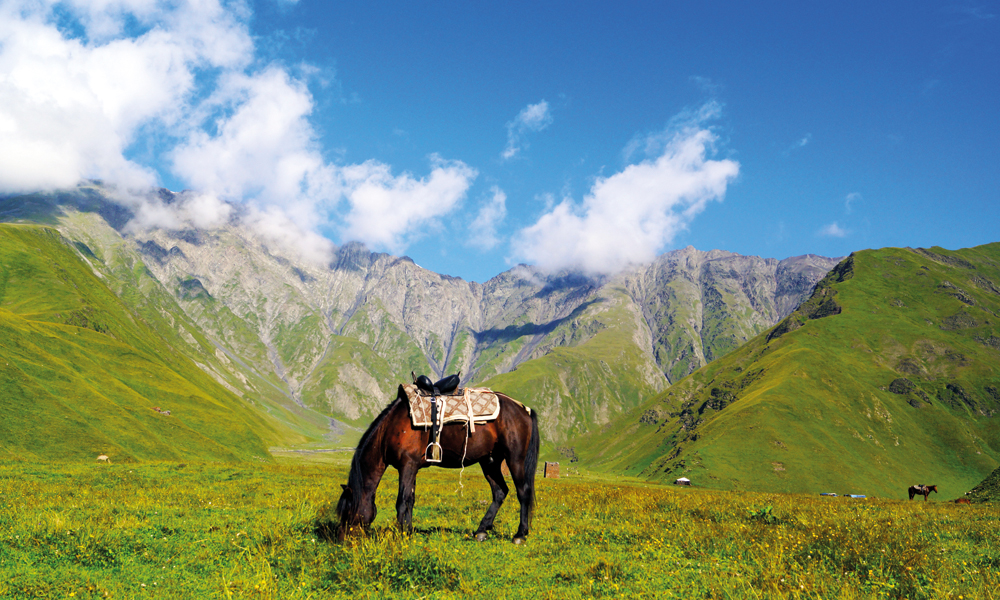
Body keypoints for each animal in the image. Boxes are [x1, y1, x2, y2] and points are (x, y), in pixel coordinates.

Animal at [334, 386, 540, 548]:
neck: (390, 428)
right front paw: (408, 531)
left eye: (348, 512)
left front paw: (400, 535)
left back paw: (520, 535)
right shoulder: (412, 467)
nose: (342, 541)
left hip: (514, 458)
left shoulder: (407, 465)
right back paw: (481, 531)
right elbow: (410, 500)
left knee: (523, 492)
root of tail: (523, 409)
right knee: (500, 491)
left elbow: (402, 501)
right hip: (489, 461)